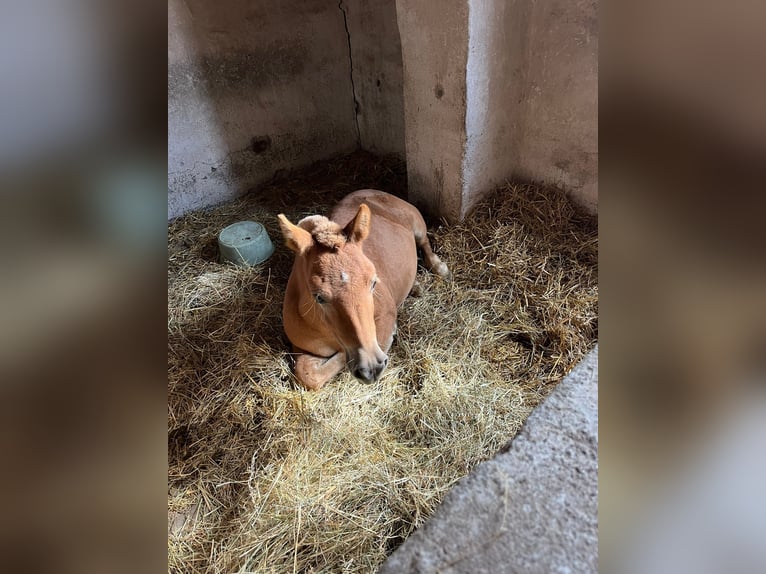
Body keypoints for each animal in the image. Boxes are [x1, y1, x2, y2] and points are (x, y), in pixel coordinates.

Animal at [280, 190, 450, 392]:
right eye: (318, 297)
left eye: (373, 283)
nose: (371, 368)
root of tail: (369, 191)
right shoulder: (301, 348)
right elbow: (306, 375)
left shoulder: (385, 316)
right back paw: (416, 287)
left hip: (416, 223)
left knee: (424, 242)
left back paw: (439, 267)